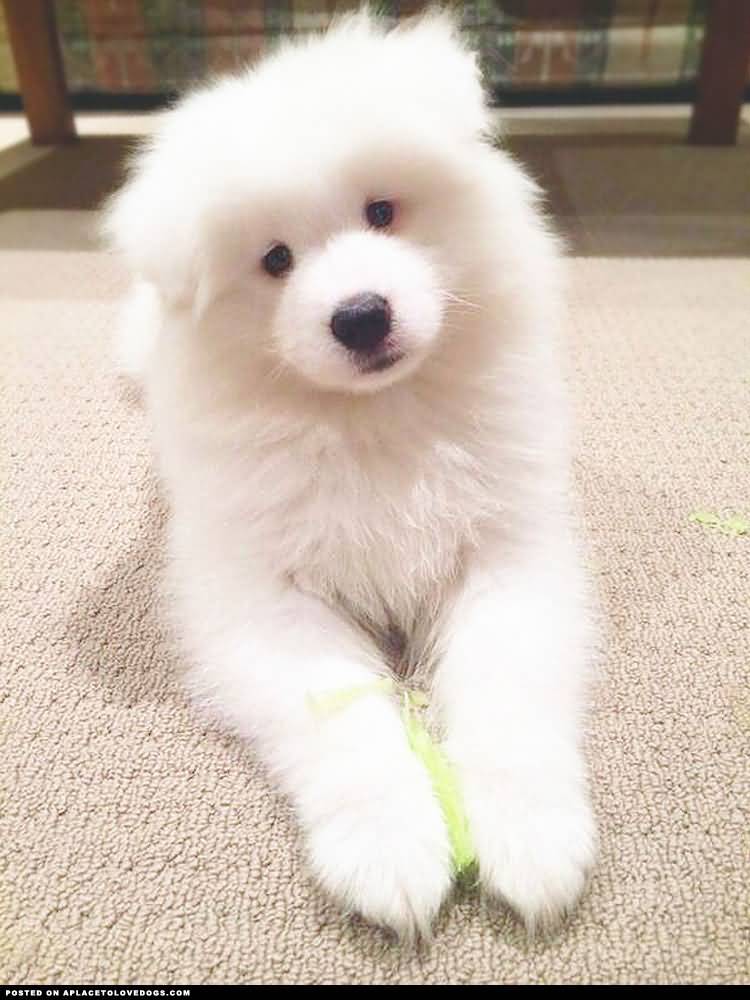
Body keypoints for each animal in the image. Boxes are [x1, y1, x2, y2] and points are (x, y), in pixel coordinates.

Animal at [106, 9, 600, 936]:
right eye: (275, 260)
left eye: (381, 211)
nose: (361, 316)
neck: (377, 422)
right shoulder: (264, 598)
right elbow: (345, 727)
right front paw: (390, 851)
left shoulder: (508, 553)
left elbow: (507, 695)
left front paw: (531, 837)